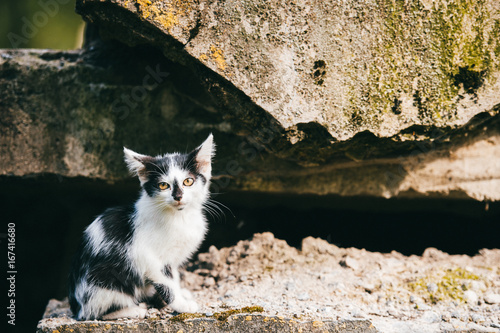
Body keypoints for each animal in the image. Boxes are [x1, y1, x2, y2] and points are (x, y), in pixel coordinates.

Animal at [67, 133, 214, 320]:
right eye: (163, 185)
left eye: (188, 181)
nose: (178, 196)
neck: (179, 217)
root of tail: (75, 308)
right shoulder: (148, 257)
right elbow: (166, 283)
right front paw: (182, 305)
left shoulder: (171, 259)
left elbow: (174, 278)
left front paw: (182, 294)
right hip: (103, 282)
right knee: (93, 314)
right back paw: (135, 309)